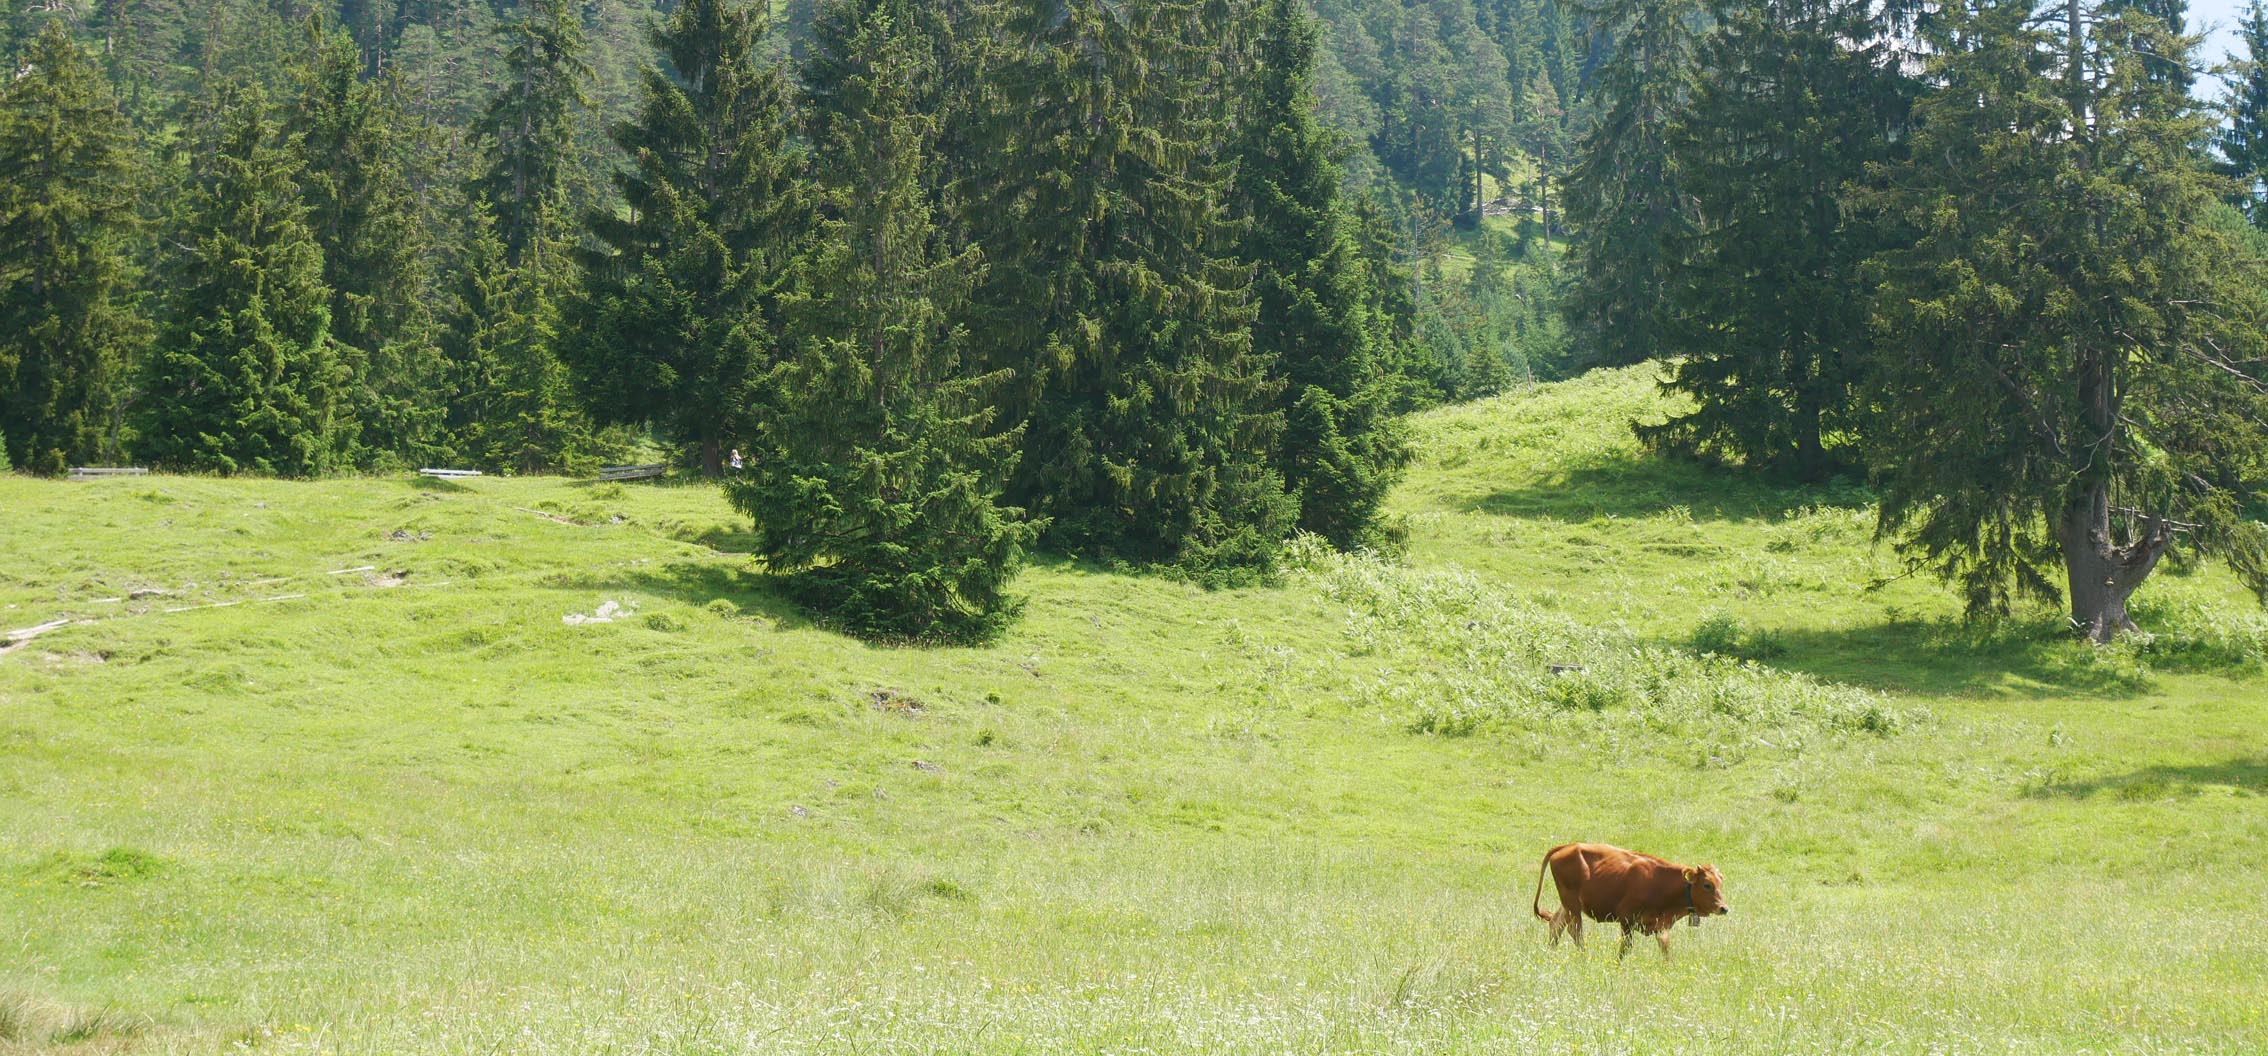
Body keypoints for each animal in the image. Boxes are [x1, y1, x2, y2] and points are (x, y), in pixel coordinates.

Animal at [1533, 842, 1723, 956]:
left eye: (1721, 882)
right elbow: (1626, 947)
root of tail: (1568, 846)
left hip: (1569, 906)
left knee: (1556, 924)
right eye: (1707, 884)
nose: (1724, 908)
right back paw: (1584, 956)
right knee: (1574, 931)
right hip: (1572, 905)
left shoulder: (1661, 926)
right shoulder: (1626, 919)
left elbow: (1665, 950)